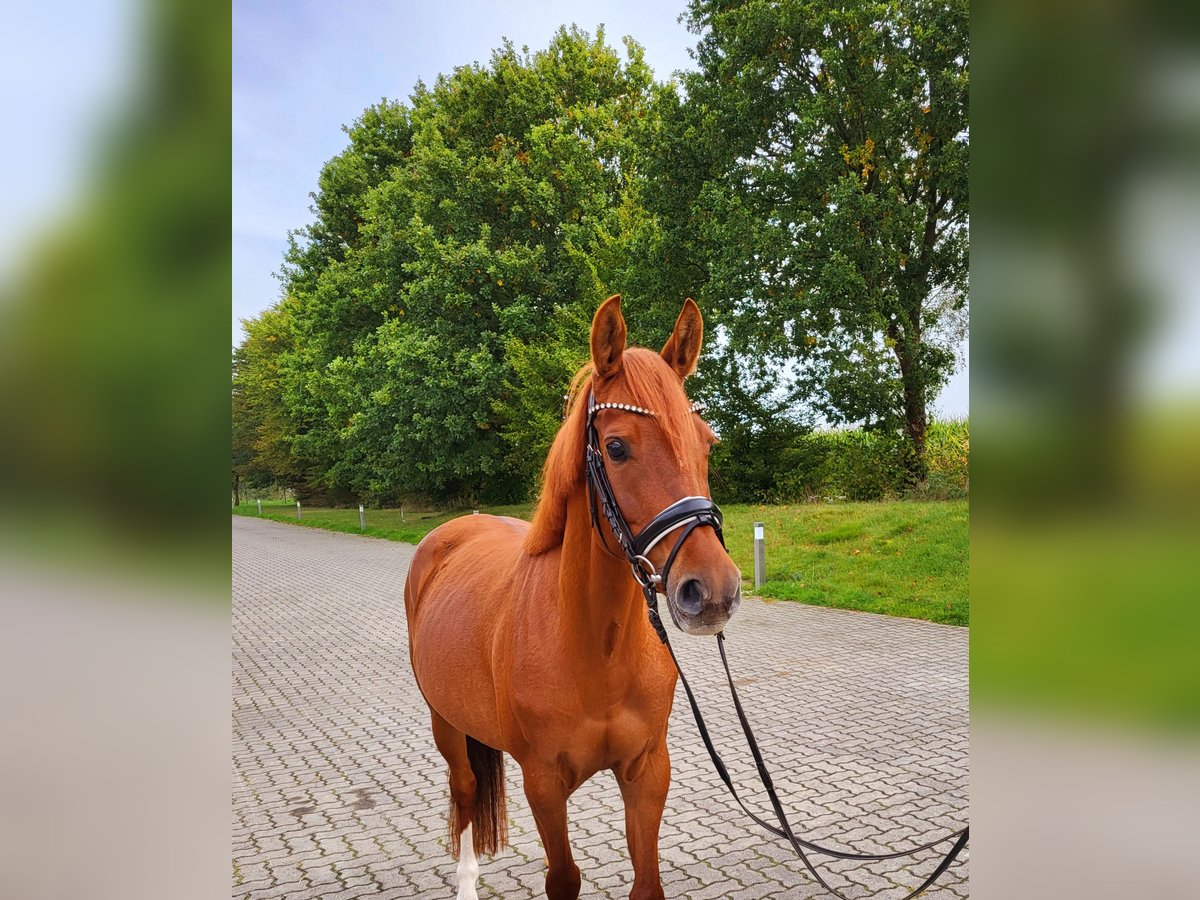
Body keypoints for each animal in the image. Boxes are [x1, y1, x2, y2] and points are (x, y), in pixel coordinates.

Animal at [403, 297, 739, 900]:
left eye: (707, 444)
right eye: (616, 447)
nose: (713, 591)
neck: (591, 645)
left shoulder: (647, 770)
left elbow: (647, 883)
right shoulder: (543, 782)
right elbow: (563, 878)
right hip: (446, 722)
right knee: (465, 791)